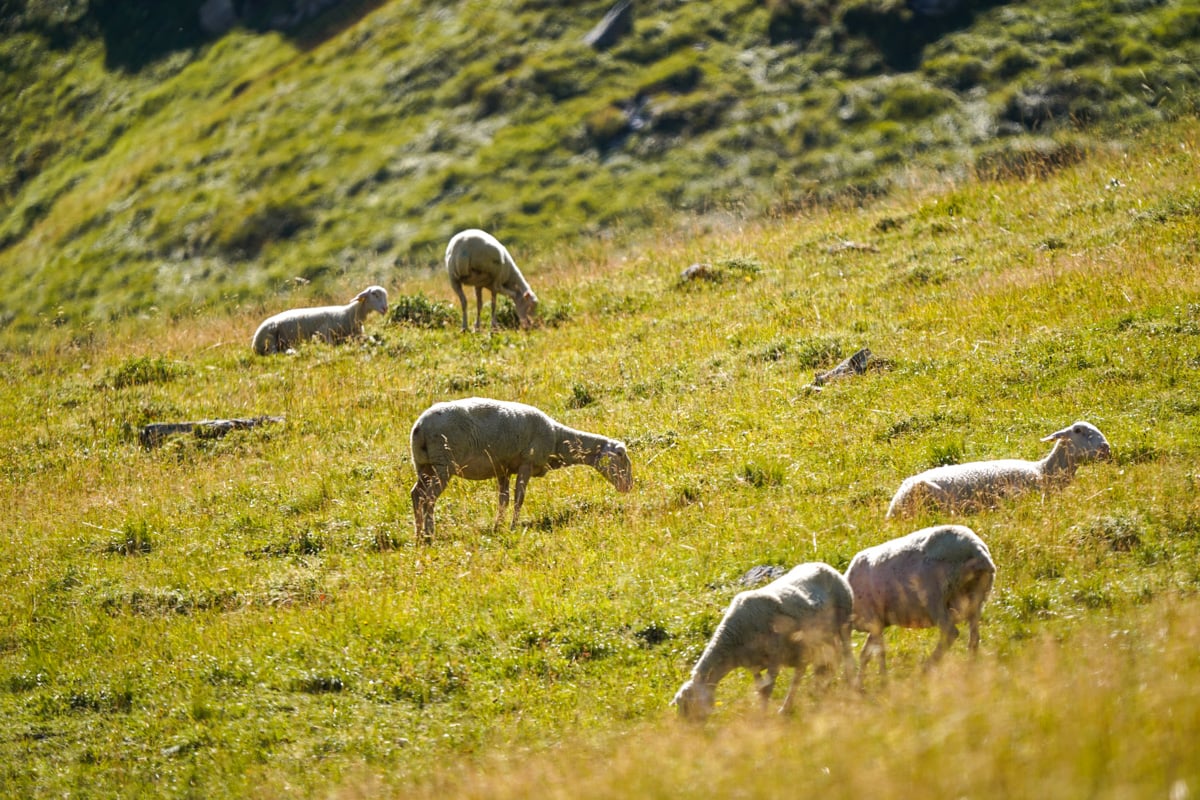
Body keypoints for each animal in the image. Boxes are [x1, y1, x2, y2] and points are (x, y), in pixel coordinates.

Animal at [252, 285, 389, 355]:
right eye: (375, 294)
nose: (385, 308)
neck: (348, 313)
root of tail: (253, 343)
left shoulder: (357, 336)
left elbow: (370, 338)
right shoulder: (325, 333)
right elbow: (331, 345)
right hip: (270, 337)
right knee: (273, 353)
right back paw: (291, 351)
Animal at [409, 397, 632, 542]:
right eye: (622, 456)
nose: (628, 487)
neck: (557, 440)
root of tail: (419, 427)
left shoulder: (503, 469)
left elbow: (503, 500)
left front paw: (498, 526)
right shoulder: (527, 463)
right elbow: (519, 498)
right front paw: (513, 526)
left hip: (424, 465)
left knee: (416, 494)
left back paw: (419, 533)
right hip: (443, 464)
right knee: (429, 497)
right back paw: (430, 533)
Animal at [671, 562, 857, 722]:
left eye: (690, 706)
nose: (692, 730)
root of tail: (824, 565)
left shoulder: (775, 656)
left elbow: (767, 690)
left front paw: (762, 719)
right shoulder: (753, 664)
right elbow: (760, 690)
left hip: (844, 622)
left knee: (846, 656)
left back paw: (849, 686)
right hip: (814, 638)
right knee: (820, 663)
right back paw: (809, 695)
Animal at [845, 524, 995, 676]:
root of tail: (978, 551)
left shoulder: (873, 620)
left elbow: (877, 653)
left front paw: (881, 678)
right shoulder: (879, 623)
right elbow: (866, 654)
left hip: (934, 598)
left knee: (950, 633)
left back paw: (925, 670)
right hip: (976, 598)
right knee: (974, 640)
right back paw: (970, 670)